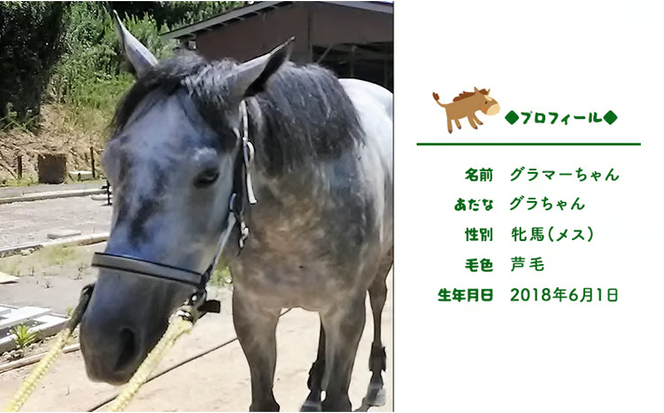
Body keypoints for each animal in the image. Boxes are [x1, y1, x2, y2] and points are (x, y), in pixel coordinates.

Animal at [78, 10, 393, 412]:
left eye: (208, 175)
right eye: (110, 162)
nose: (104, 344)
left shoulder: (346, 313)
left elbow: (339, 396)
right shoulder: (252, 314)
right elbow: (263, 398)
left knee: (379, 299)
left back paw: (376, 379)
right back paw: (312, 388)